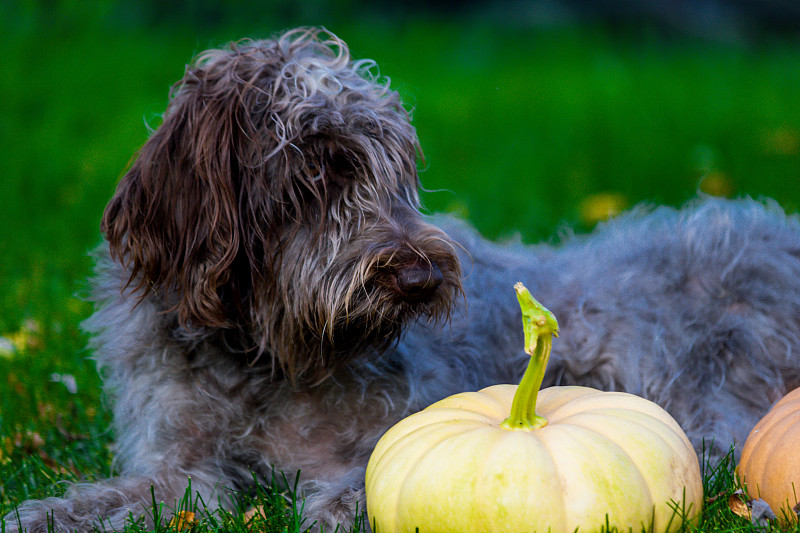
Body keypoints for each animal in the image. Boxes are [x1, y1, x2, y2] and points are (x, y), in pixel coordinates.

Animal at [4, 26, 800, 532]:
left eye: (397, 171)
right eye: (319, 168)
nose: (421, 277)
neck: (263, 358)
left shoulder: (376, 436)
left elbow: (361, 476)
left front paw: (341, 508)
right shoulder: (184, 464)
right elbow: (141, 495)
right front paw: (43, 514)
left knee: (714, 443)